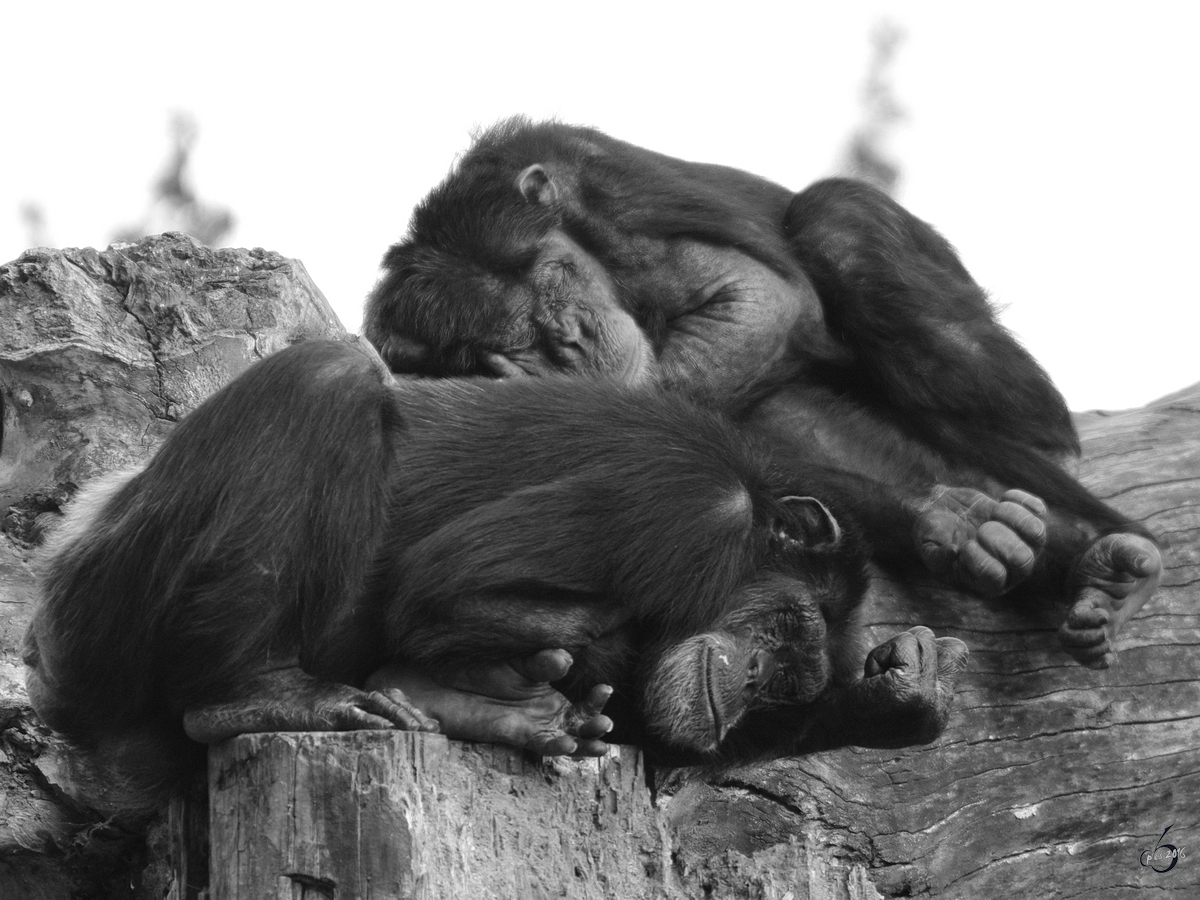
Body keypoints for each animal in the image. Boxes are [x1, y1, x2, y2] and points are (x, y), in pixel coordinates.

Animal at [25, 340, 964, 816]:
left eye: (790, 686)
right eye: (785, 632)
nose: (758, 683)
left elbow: (666, 730)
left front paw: (898, 697)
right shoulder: (681, 511)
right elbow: (447, 584)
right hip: (107, 604)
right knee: (328, 375)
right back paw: (260, 696)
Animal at [362, 118, 1161, 672]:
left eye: (553, 275)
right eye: (514, 337)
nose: (569, 337)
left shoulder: (608, 205)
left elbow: (755, 297)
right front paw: (953, 522)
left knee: (842, 224)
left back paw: (1090, 530)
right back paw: (1060, 556)